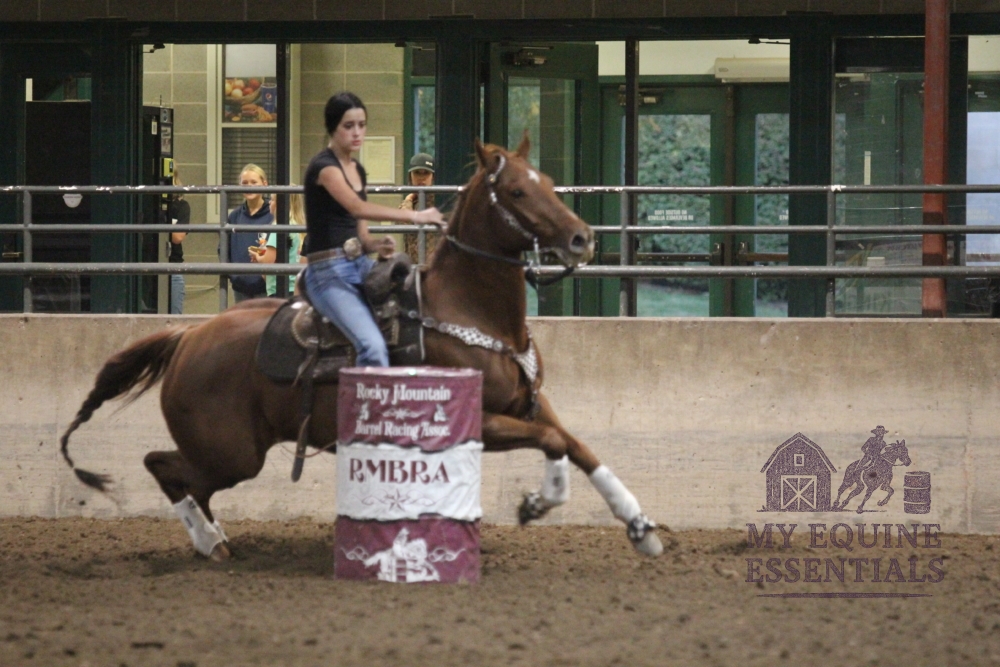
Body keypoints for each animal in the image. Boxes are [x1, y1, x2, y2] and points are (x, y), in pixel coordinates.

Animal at [58, 135, 665, 561]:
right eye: (517, 191)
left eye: (549, 180)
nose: (582, 238)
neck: (468, 312)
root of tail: (187, 336)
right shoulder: (482, 422)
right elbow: (554, 442)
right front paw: (539, 501)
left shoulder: (529, 404)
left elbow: (577, 444)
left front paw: (639, 527)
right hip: (232, 451)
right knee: (163, 466)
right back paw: (208, 541)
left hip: (230, 451)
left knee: (188, 480)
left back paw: (216, 537)